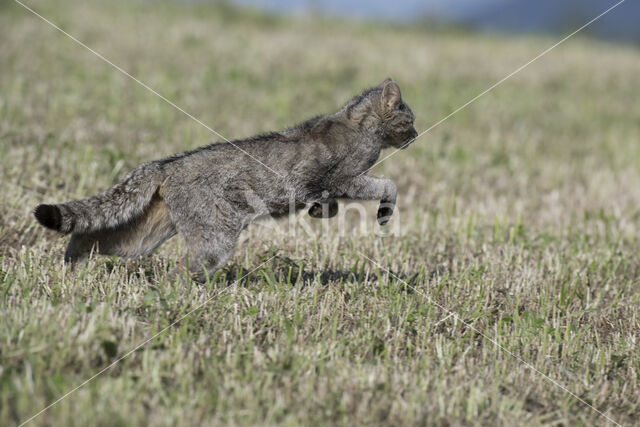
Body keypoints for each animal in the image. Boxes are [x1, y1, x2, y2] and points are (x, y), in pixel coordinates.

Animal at [35, 78, 418, 280]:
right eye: (410, 120)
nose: (417, 135)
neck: (359, 125)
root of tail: (165, 165)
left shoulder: (325, 188)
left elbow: (330, 204)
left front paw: (320, 212)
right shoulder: (345, 178)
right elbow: (388, 185)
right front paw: (384, 211)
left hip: (143, 238)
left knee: (89, 236)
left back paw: (70, 268)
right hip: (214, 239)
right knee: (183, 271)